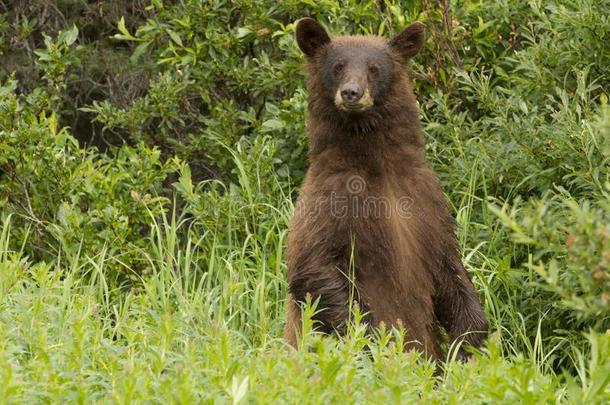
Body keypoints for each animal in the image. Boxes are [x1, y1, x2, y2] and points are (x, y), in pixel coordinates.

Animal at [282, 18, 486, 360]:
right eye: (337, 65)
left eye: (375, 67)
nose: (351, 92)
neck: (377, 164)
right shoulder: (330, 199)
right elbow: (313, 266)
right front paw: (374, 343)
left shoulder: (426, 199)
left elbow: (450, 267)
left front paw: (467, 344)